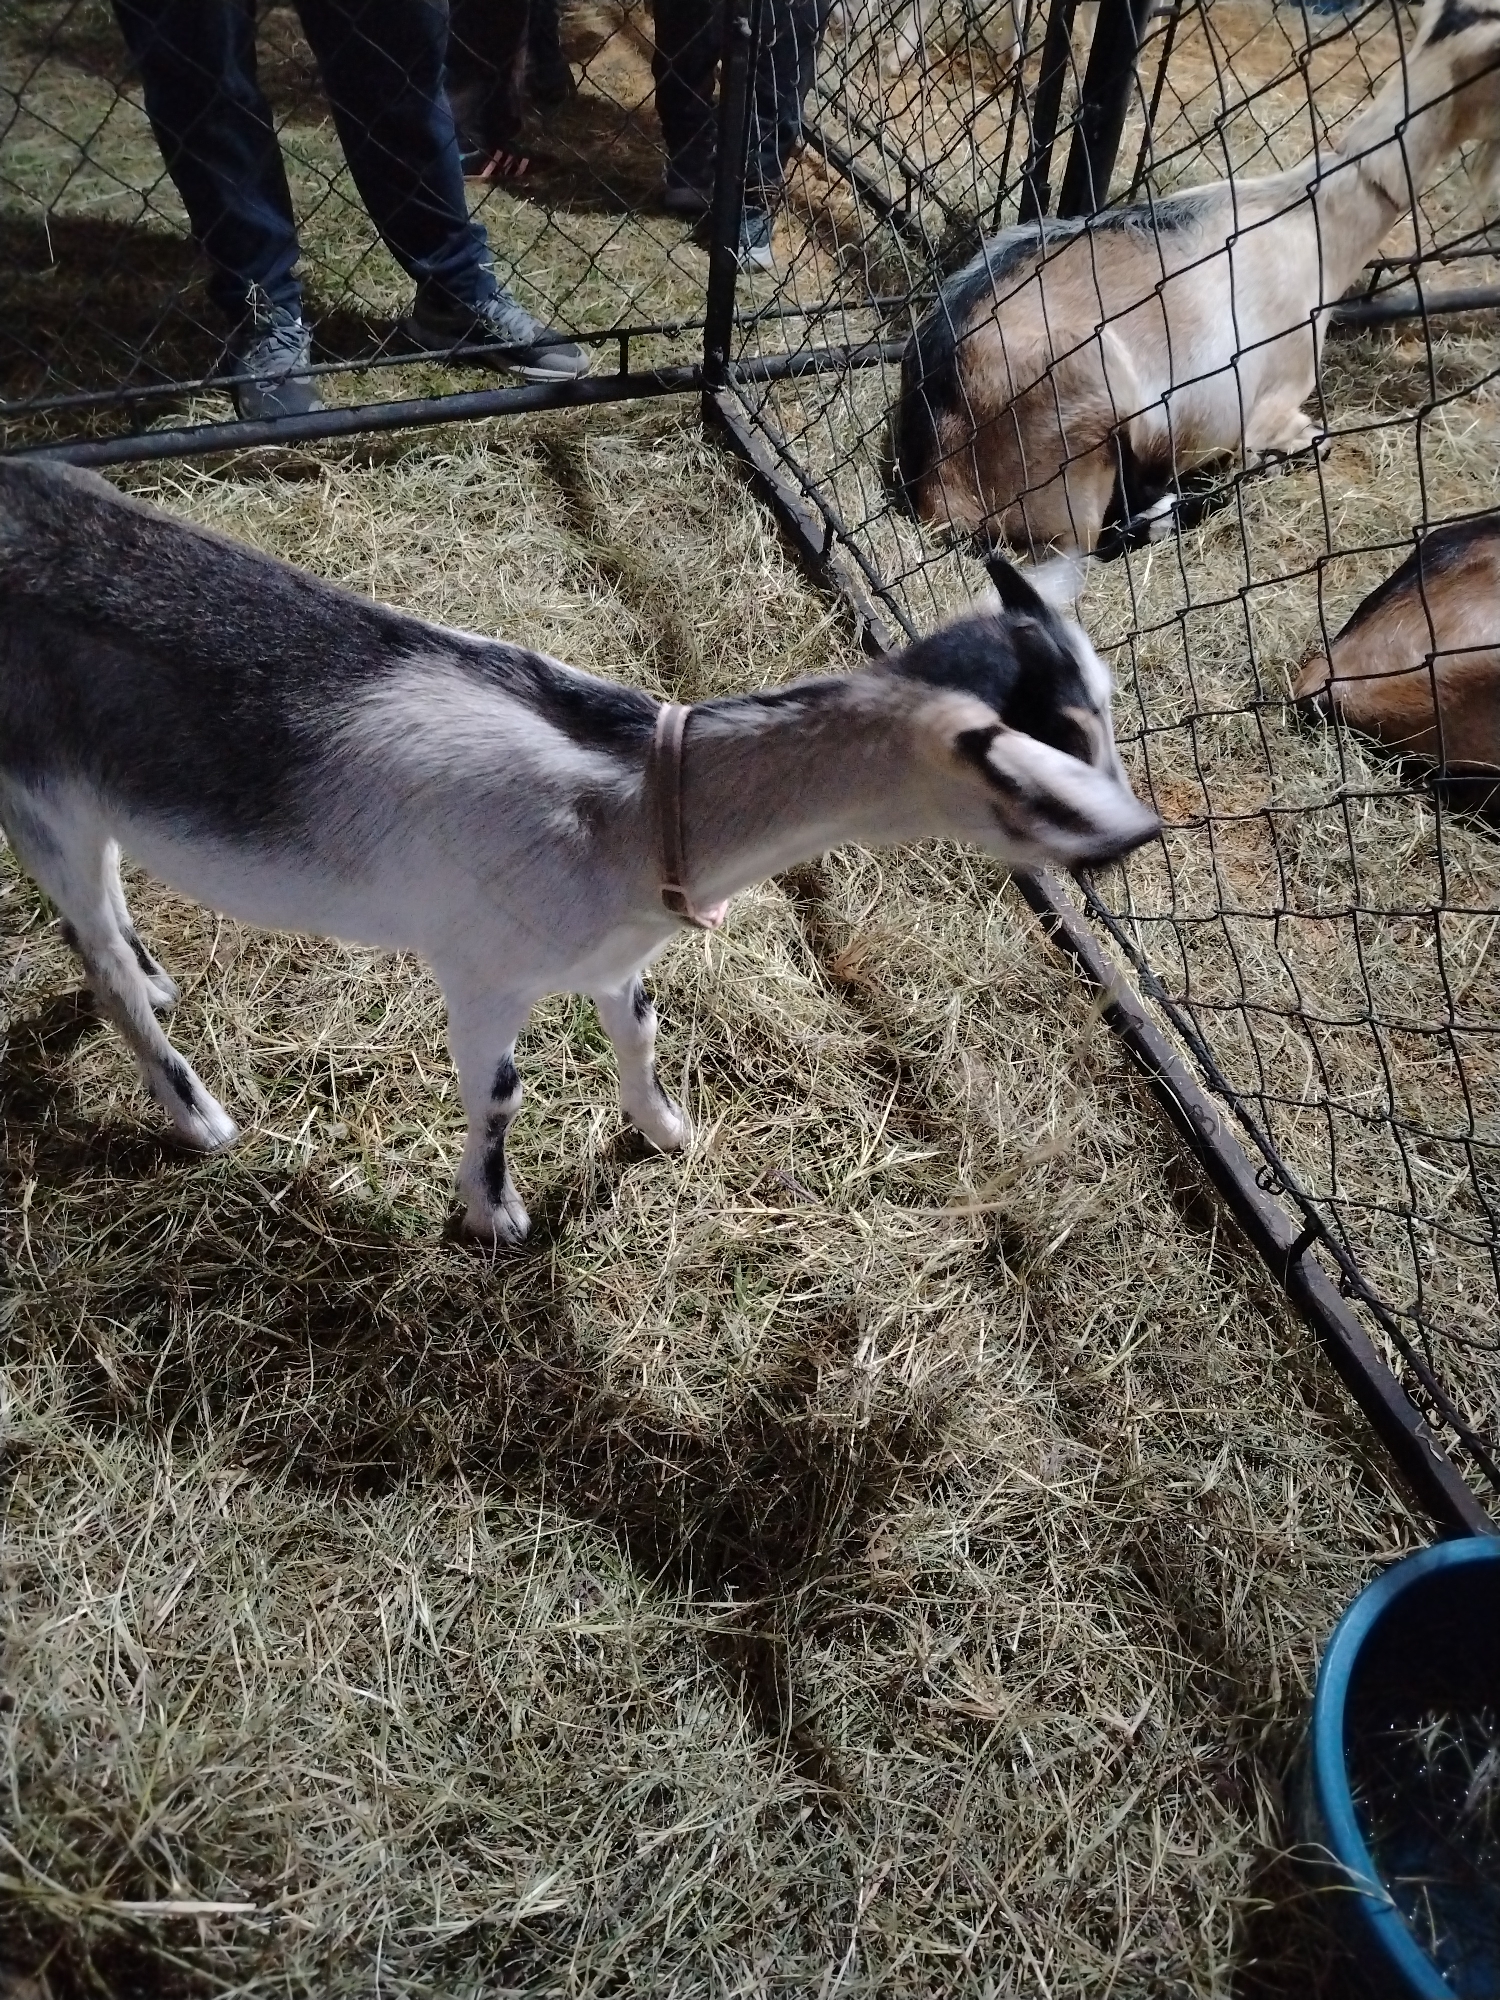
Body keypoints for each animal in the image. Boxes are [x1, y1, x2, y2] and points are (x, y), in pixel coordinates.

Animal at [0, 460, 1156, 1243]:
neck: (635, 802)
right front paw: (495, 1214)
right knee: (95, 960)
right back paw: (200, 1117)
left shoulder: (613, 956)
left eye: (1106, 711)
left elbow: (640, 1030)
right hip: (42, 797)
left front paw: (666, 1130)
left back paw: (159, 975)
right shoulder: (481, 971)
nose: (1140, 835)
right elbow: (500, 1092)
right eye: (1028, 784)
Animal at [894, 0, 1500, 556]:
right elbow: (1305, 444)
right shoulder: (1267, 407)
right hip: (1090, 414)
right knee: (1100, 535)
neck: (1314, 219)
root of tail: (937, 488)